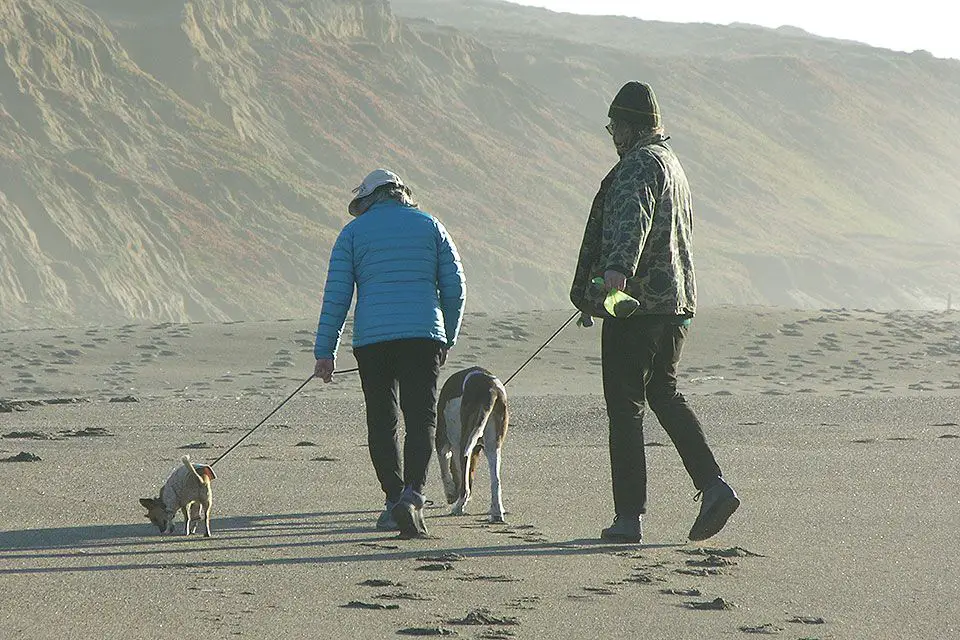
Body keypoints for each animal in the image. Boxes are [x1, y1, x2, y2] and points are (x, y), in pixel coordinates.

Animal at [436, 368, 510, 524]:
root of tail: (491, 389)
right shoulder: (476, 450)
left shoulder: (442, 441)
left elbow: (446, 470)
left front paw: (451, 494)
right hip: (493, 447)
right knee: (496, 481)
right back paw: (497, 513)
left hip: (466, 440)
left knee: (465, 486)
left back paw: (458, 507)